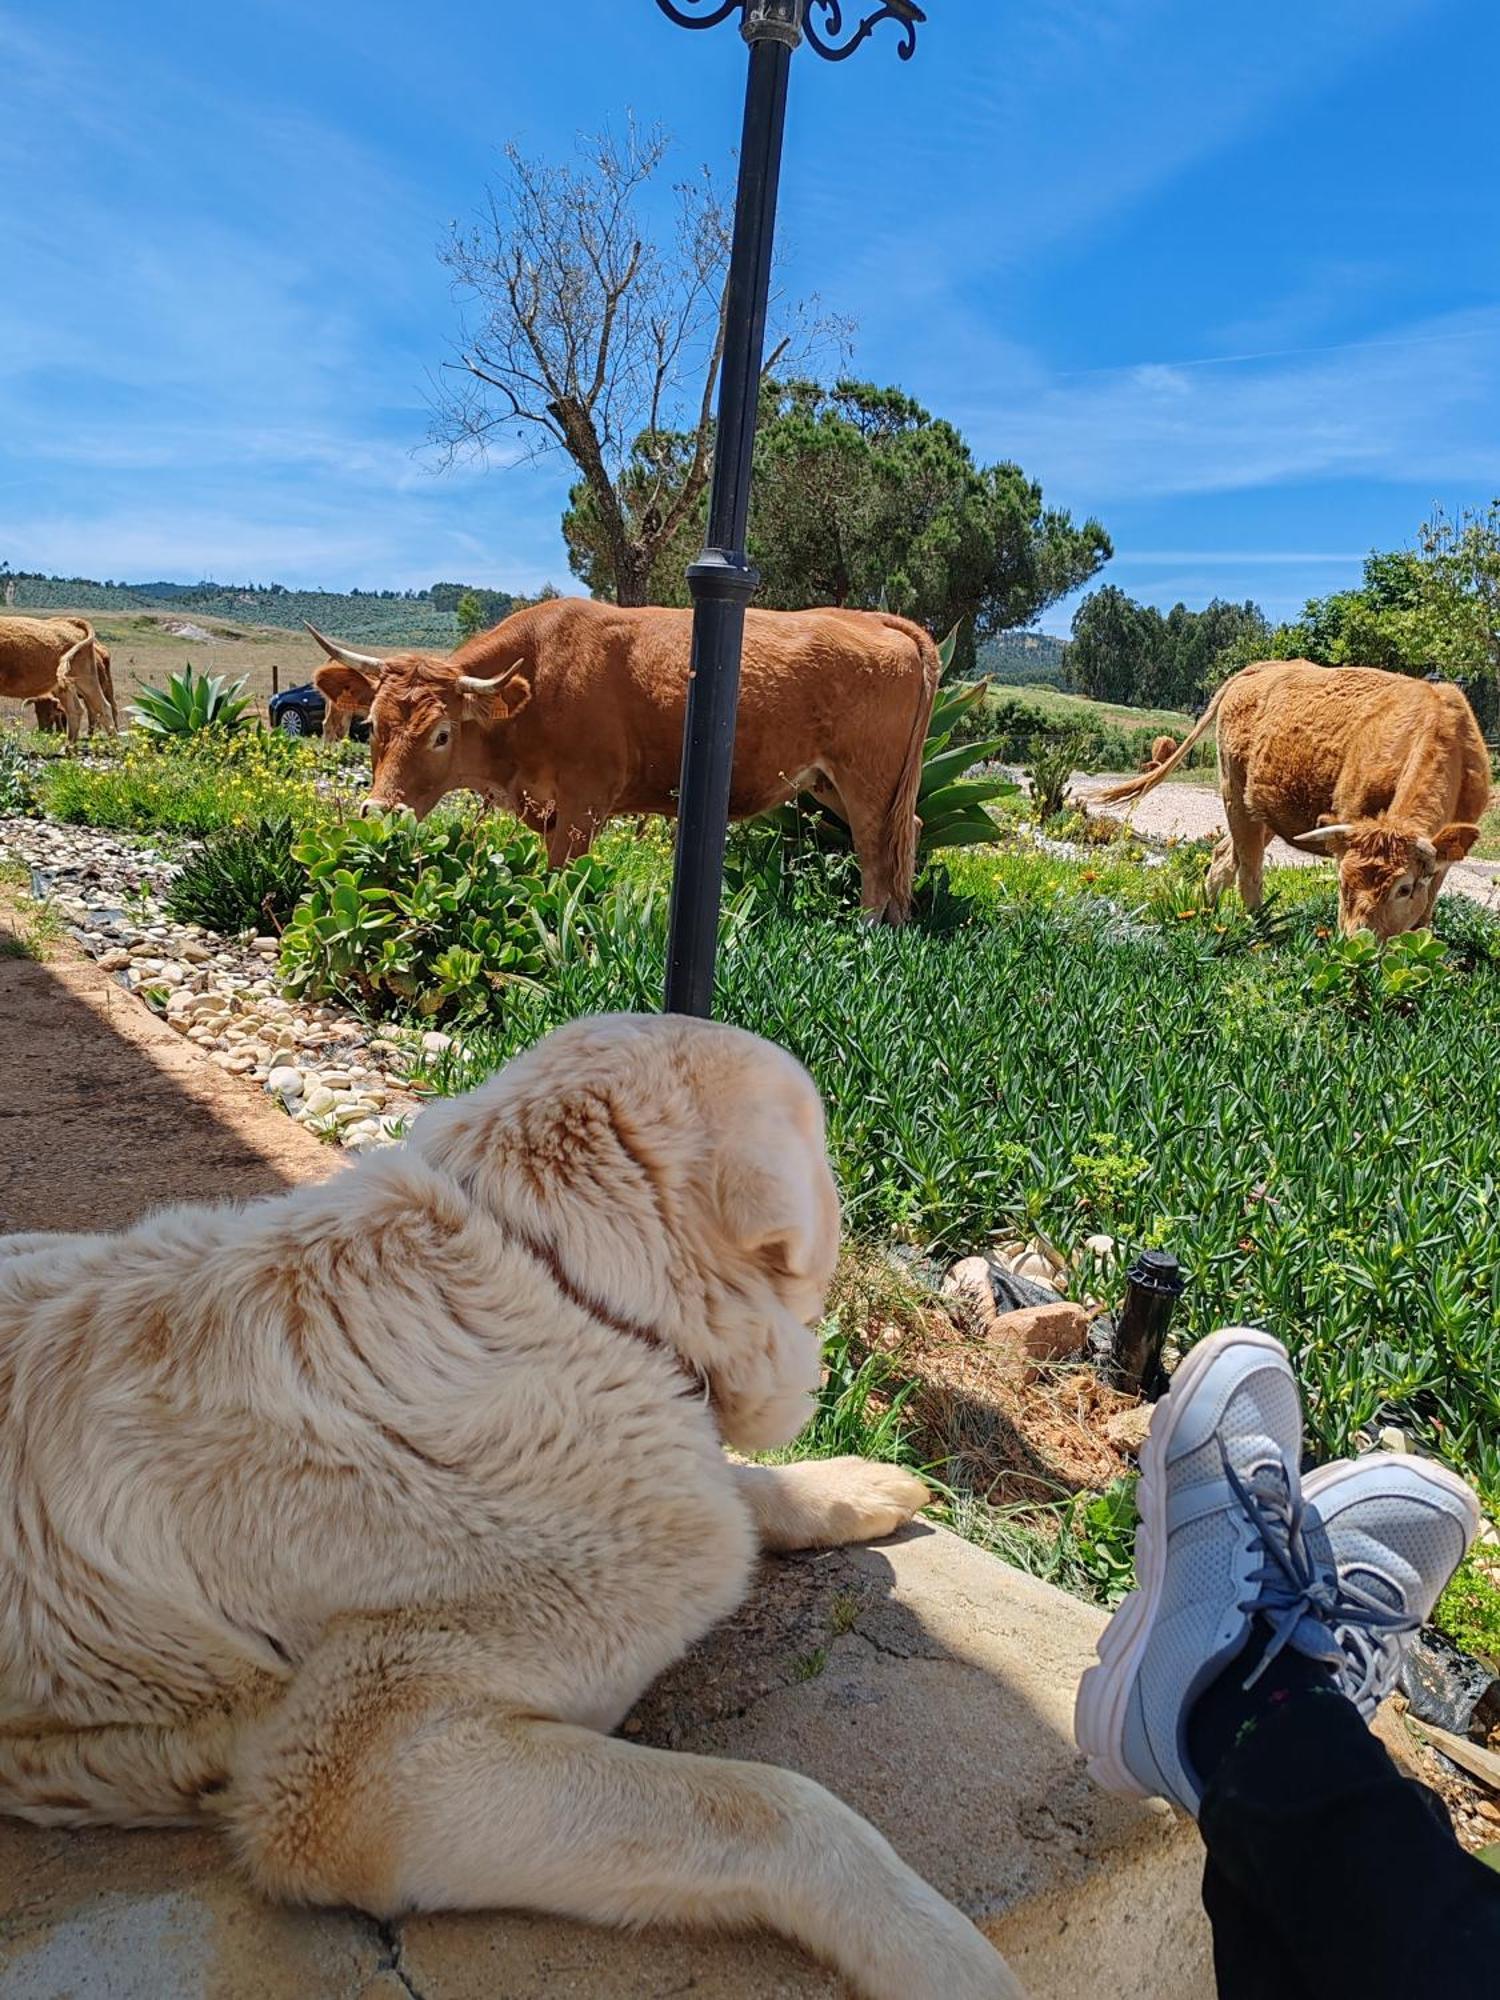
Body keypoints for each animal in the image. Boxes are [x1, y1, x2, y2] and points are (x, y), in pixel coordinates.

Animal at [0, 608, 118, 744]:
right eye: (36, 712)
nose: (43, 731)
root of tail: (72, 622)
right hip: (64, 687)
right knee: (76, 711)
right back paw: (68, 746)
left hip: (87, 680)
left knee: (104, 708)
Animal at [0, 1016, 1032, 2000]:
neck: (561, 1278)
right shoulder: (363, 1779)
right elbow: (777, 1808)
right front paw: (937, 1951)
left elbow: (738, 1483)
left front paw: (840, 1486)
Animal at [308, 596, 940, 924]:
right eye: (371, 726)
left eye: (441, 734)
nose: (379, 811)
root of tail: (874, 618)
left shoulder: (585, 801)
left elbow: (561, 876)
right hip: (830, 782)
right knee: (905, 832)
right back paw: (898, 924)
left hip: (866, 778)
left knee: (877, 848)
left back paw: (870, 929)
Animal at [1104, 660, 1496, 932]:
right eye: (1342, 881)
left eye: (1403, 888)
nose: (1357, 942)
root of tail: (1263, 666)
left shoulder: (1444, 860)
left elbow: (1424, 916)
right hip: (1234, 792)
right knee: (1249, 869)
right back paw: (1258, 930)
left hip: (1262, 812)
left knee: (1224, 857)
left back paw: (1204, 912)